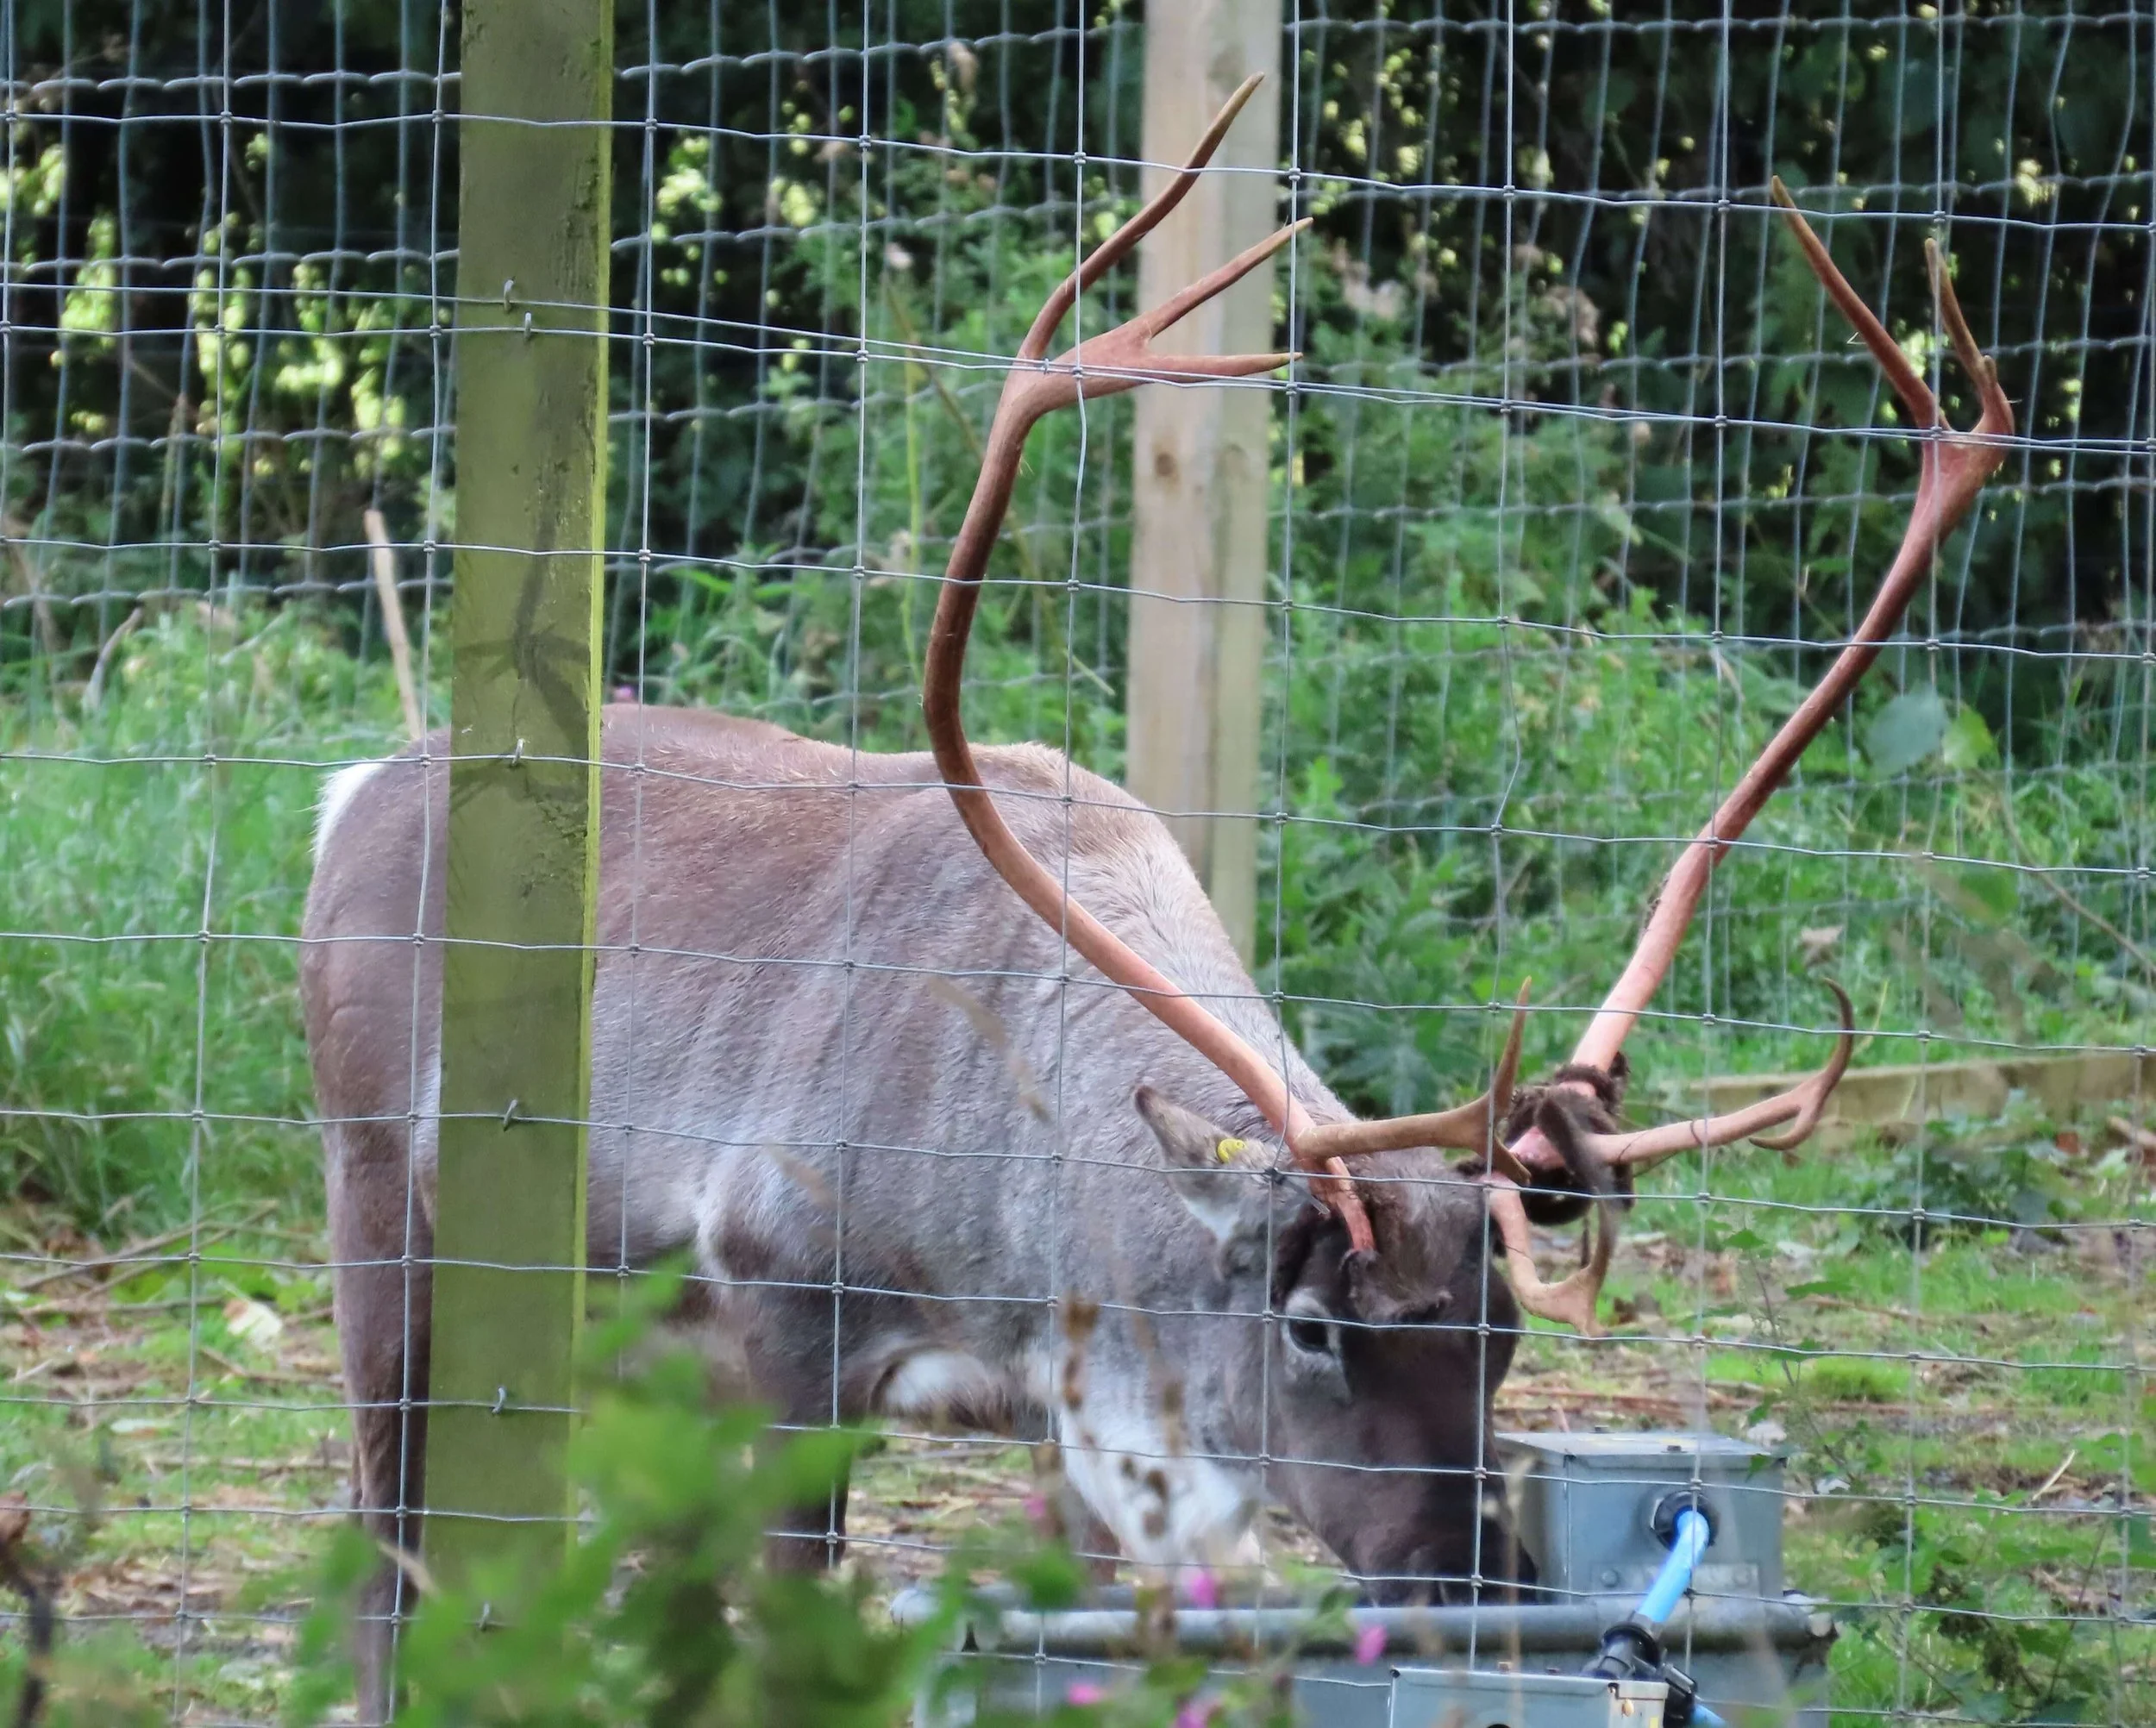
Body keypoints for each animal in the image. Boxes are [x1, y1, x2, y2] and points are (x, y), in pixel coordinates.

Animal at [300, 77, 2009, 1720]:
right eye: (1319, 1325)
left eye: (1507, 1335)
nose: (1479, 1585)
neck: (1025, 1216)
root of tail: (354, 789)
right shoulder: (783, 1318)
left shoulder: (1070, 1423)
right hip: (382, 1202)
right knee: (385, 1549)